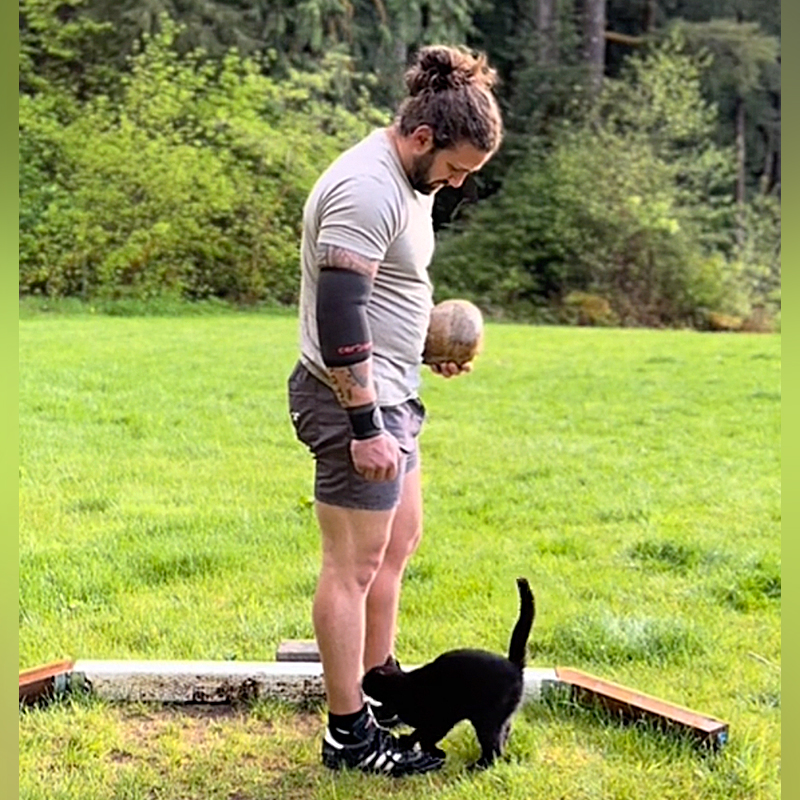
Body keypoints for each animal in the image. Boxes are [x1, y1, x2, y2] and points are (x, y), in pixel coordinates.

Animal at [362, 576, 536, 768]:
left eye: (367, 679)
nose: (360, 681)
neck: (404, 688)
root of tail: (513, 664)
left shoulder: (440, 718)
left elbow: (423, 734)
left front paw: (409, 743)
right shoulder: (442, 722)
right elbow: (425, 736)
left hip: (487, 720)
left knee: (493, 749)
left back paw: (477, 766)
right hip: (499, 718)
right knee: (503, 735)